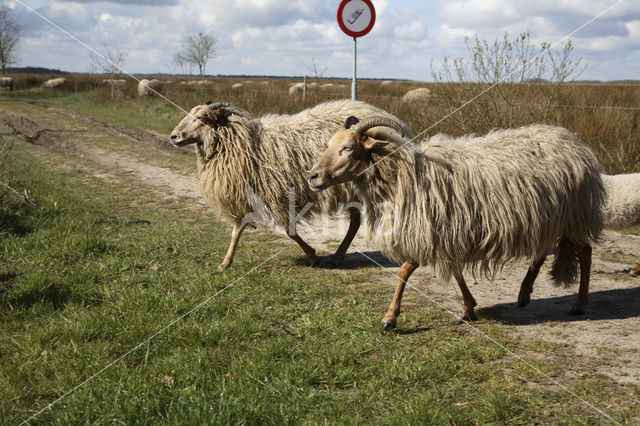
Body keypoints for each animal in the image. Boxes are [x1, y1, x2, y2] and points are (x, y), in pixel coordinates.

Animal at [169, 100, 410, 270]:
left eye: (201, 118)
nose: (173, 136)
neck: (243, 143)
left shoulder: (277, 194)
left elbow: (289, 230)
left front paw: (312, 256)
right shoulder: (250, 194)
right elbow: (237, 230)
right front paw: (225, 263)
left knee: (358, 221)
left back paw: (338, 256)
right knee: (356, 221)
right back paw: (338, 255)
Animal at [308, 118, 604, 332]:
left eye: (348, 148)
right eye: (330, 144)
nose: (313, 177)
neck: (403, 175)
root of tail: (574, 142)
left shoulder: (431, 232)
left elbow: (405, 270)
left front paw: (390, 319)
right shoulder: (449, 235)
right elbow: (456, 272)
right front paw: (469, 309)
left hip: (574, 214)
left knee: (585, 252)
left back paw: (579, 304)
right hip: (547, 216)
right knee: (542, 250)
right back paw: (524, 294)